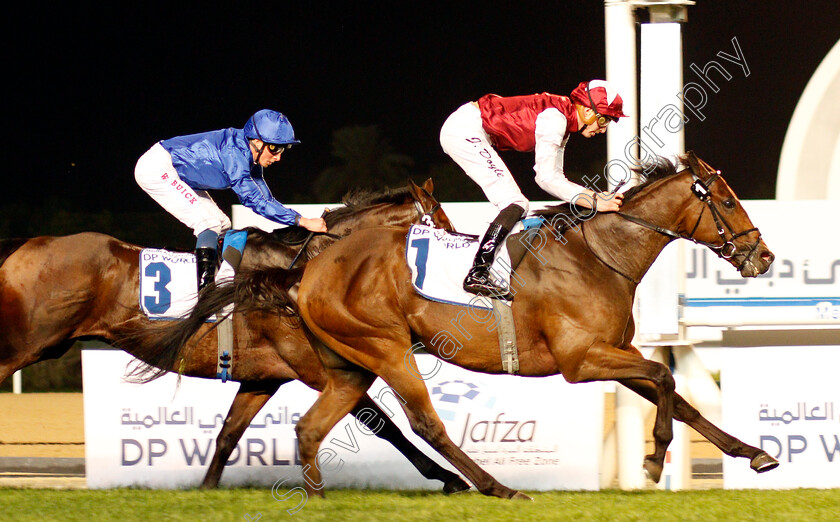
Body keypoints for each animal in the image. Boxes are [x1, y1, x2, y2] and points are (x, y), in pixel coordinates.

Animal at [0, 179, 466, 492]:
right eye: (441, 223)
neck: (304, 270)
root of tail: (26, 245)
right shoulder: (317, 369)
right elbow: (383, 424)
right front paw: (449, 477)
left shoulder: (263, 377)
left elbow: (227, 435)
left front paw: (206, 489)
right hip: (27, 344)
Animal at [294, 150, 780, 496]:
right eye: (727, 201)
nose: (765, 255)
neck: (598, 257)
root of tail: (312, 270)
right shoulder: (580, 360)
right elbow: (664, 376)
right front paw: (655, 459)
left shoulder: (616, 351)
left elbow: (679, 399)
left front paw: (754, 453)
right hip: (387, 350)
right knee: (425, 423)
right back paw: (498, 488)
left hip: (352, 364)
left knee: (310, 428)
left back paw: (318, 500)